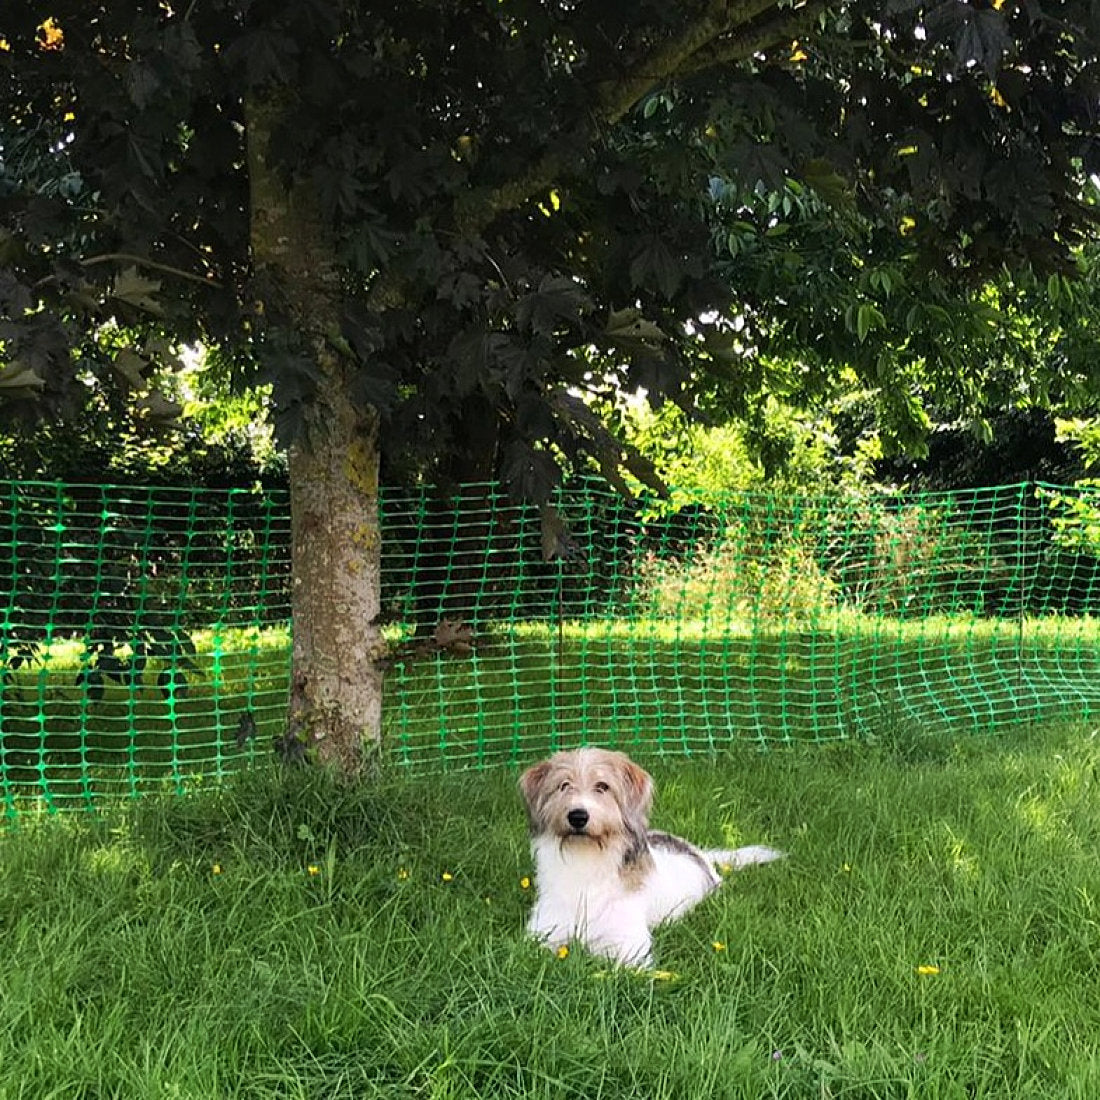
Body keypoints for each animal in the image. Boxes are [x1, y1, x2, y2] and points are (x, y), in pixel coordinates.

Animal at [517, 743, 783, 968]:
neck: (586, 858)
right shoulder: (542, 933)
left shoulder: (629, 947)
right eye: (563, 785)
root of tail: (697, 851)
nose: (578, 816)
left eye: (602, 786)